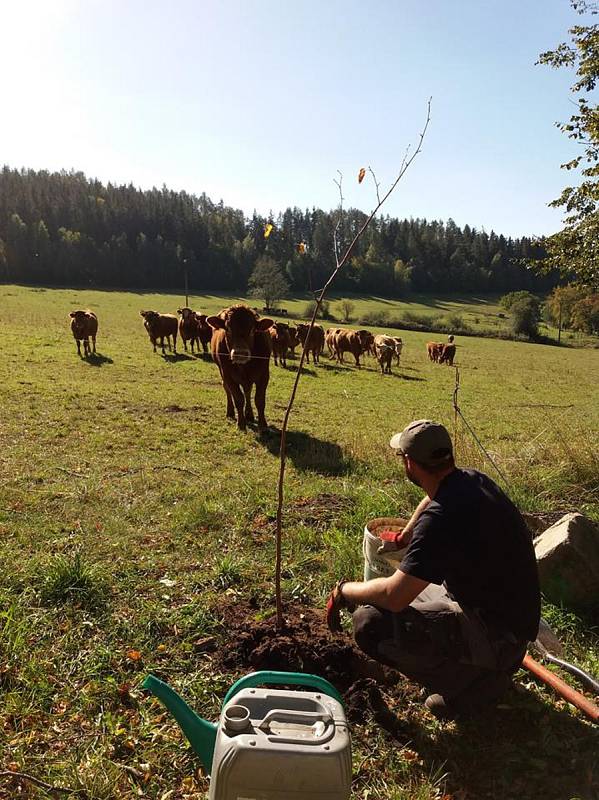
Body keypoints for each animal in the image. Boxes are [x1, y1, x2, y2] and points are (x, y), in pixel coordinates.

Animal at [206, 304, 272, 432]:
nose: (240, 353)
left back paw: (249, 414)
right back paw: (230, 412)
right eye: (228, 329)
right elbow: (238, 398)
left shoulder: (264, 375)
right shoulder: (228, 376)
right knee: (227, 389)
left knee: (247, 391)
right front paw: (241, 423)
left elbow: (259, 400)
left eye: (252, 330)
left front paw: (263, 425)